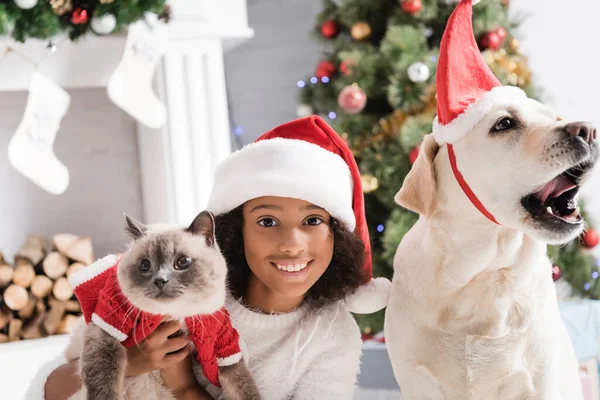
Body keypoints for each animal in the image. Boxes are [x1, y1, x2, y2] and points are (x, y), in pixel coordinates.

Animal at [66, 211, 260, 398]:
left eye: (182, 262)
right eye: (145, 265)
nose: (160, 281)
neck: (173, 315)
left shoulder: (223, 346)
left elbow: (245, 387)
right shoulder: (107, 327)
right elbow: (103, 382)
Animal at [386, 98, 596, 398]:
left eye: (556, 118)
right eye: (504, 123)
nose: (589, 131)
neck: (483, 273)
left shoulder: (542, 384)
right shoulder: (416, 383)